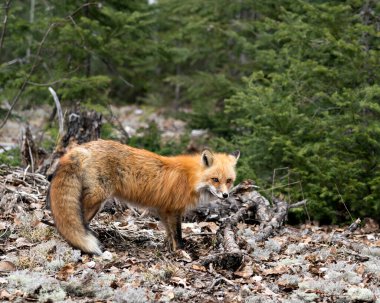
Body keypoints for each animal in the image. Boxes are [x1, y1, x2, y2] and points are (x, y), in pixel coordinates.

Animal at [46, 141, 239, 256]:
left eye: (229, 181)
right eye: (215, 180)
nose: (225, 195)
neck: (191, 178)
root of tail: (84, 146)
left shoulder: (164, 210)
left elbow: (169, 234)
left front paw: (168, 249)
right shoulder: (174, 210)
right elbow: (177, 235)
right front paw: (181, 252)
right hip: (97, 200)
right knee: (77, 221)